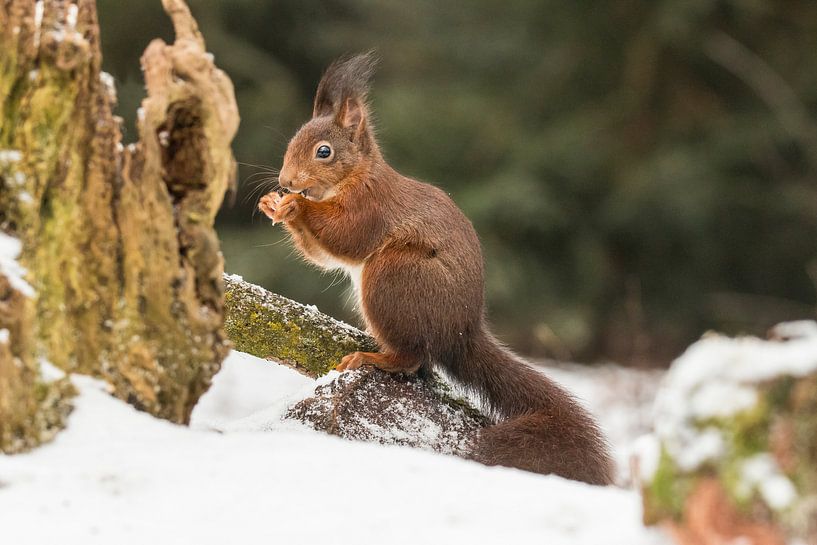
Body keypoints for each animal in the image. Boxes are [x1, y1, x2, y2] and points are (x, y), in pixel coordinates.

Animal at [260, 53, 612, 482]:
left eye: (323, 152)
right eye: (292, 142)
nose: (286, 181)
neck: (353, 179)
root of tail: (460, 332)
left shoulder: (371, 208)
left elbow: (347, 238)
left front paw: (295, 206)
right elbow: (323, 256)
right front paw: (272, 204)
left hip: (393, 277)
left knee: (412, 357)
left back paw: (375, 358)